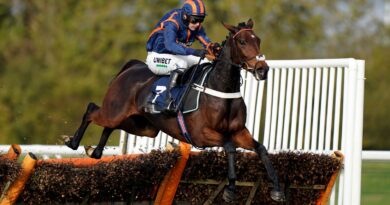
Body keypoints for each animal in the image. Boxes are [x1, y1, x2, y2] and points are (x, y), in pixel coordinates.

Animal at [63, 18, 284, 202]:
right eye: (243, 42)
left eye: (258, 40)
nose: (262, 69)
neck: (221, 89)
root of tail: (132, 66)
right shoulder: (202, 134)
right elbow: (229, 147)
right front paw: (230, 189)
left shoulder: (239, 132)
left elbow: (261, 149)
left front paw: (277, 189)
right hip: (115, 111)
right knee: (92, 110)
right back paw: (72, 142)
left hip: (142, 126)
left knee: (111, 126)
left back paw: (95, 151)